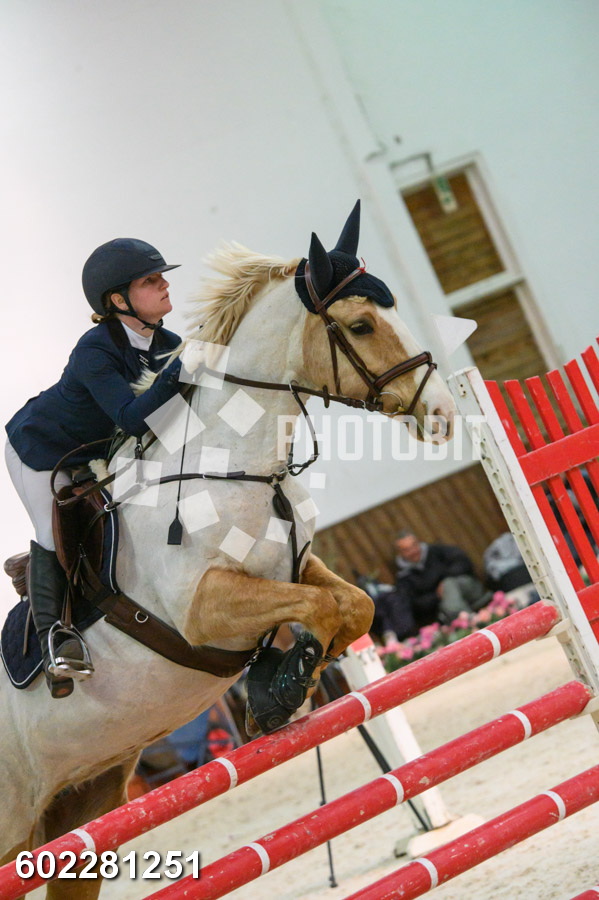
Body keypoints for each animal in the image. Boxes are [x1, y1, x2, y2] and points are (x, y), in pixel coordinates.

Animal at [0, 202, 456, 897]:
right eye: (359, 324)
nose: (444, 415)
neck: (236, 461)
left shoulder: (294, 563)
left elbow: (352, 606)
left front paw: (276, 686)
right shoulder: (202, 609)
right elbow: (321, 610)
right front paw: (283, 686)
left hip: (78, 803)